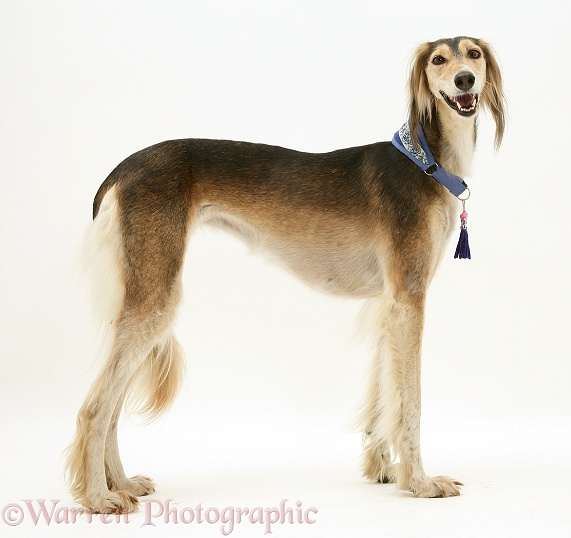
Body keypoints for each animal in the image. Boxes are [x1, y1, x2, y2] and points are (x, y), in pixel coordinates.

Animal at [66, 35, 504, 512]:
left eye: (473, 54)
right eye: (439, 60)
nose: (465, 81)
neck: (426, 162)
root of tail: (122, 169)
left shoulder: (387, 304)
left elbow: (383, 394)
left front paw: (384, 469)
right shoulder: (409, 298)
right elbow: (411, 403)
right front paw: (421, 482)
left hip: (143, 299)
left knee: (111, 407)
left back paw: (121, 483)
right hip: (156, 296)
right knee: (94, 408)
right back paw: (98, 496)